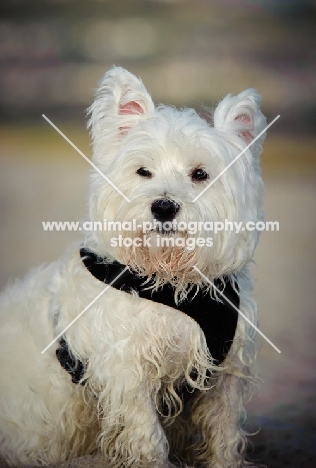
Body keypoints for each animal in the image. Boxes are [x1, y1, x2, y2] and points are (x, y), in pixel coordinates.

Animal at [0, 66, 266, 468]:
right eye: (143, 172)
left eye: (200, 174)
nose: (164, 207)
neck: (169, 278)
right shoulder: (127, 373)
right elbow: (147, 439)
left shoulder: (224, 376)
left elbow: (225, 435)